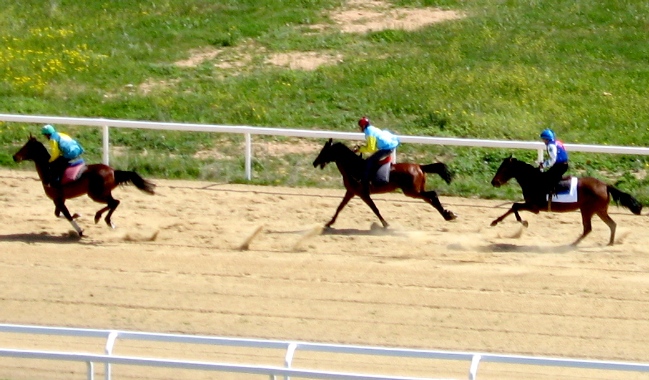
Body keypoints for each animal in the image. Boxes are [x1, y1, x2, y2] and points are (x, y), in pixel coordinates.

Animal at [13, 135, 156, 236]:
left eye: (26, 147)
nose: (15, 157)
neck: (49, 169)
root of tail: (113, 171)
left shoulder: (58, 199)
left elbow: (66, 215)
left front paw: (80, 230)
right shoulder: (59, 199)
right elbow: (59, 214)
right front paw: (78, 215)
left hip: (96, 194)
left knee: (114, 202)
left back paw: (101, 218)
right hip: (103, 193)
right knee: (114, 203)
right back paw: (104, 220)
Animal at [310, 140, 456, 229]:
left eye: (324, 151)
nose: (314, 163)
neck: (354, 168)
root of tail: (420, 166)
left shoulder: (363, 194)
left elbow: (375, 209)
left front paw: (385, 224)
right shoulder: (351, 192)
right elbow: (339, 207)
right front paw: (329, 223)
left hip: (412, 191)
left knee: (432, 195)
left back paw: (448, 214)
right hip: (415, 191)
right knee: (430, 198)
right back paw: (448, 215)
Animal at [488, 155, 640, 246]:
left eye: (503, 168)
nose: (494, 182)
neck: (534, 180)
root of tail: (605, 185)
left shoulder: (534, 207)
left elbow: (514, 206)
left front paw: (523, 222)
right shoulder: (531, 205)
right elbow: (513, 207)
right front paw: (495, 222)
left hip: (588, 210)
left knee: (588, 228)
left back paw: (573, 244)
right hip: (599, 210)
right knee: (611, 224)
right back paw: (610, 243)